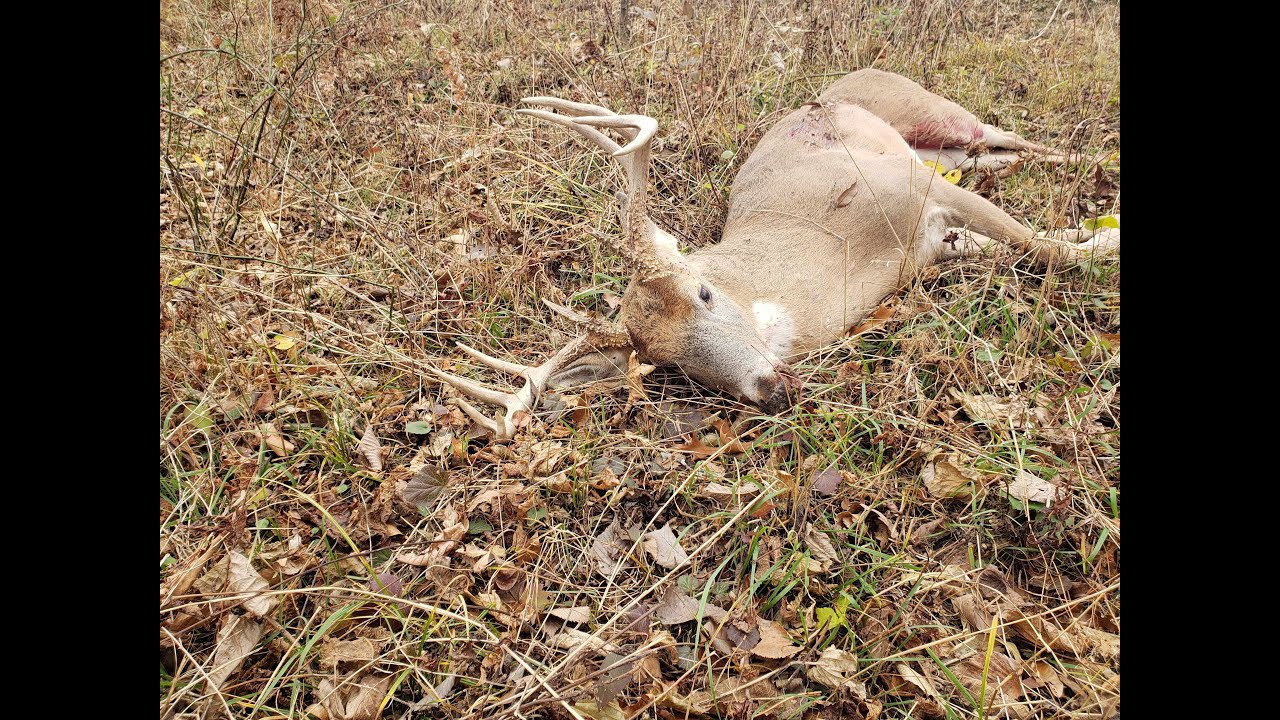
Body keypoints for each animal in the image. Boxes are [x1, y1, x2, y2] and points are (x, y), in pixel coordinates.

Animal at [428, 69, 1119, 440]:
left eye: (705, 292)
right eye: (665, 366)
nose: (770, 390)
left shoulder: (913, 190)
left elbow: (1049, 250)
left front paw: (1103, 239)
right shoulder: (935, 242)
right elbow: (1030, 250)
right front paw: (1091, 234)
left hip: (943, 116)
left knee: (1028, 142)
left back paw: (1101, 169)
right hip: (954, 152)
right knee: (1011, 157)